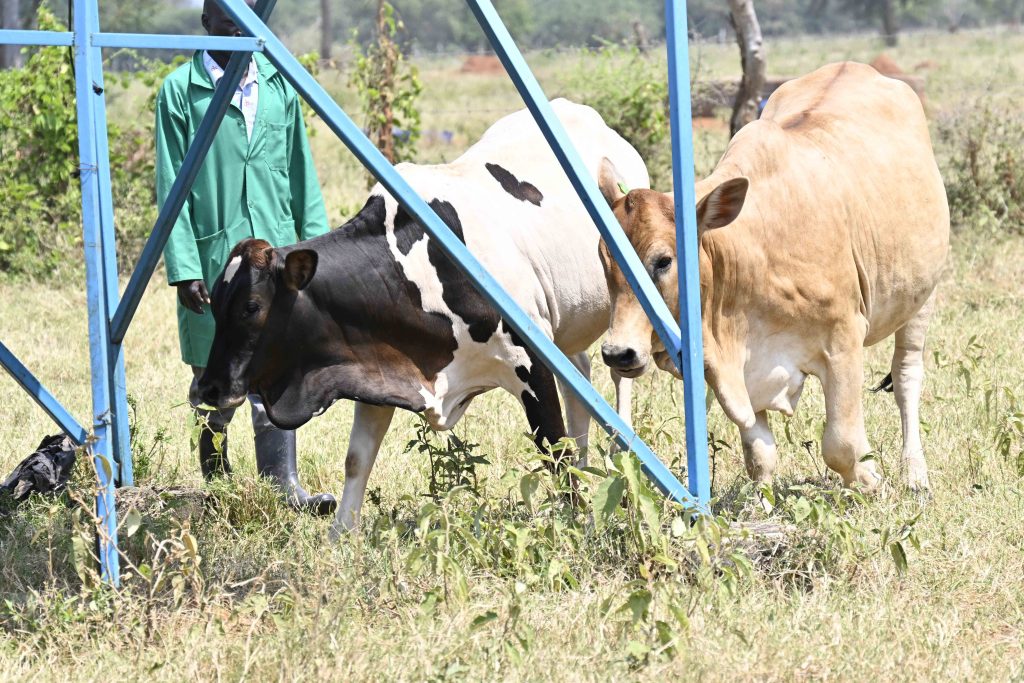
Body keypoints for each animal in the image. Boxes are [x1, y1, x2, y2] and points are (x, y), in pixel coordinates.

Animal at [197, 100, 647, 540]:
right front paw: (340, 537)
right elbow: (356, 459)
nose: (209, 387)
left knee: (617, 376)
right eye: (214, 303)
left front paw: (575, 518)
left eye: (252, 306)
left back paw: (618, 453)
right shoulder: (378, 373)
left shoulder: (530, 361)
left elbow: (553, 446)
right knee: (580, 381)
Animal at [598, 62, 950, 491]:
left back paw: (914, 471)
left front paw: (869, 480)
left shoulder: (843, 339)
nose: (618, 353)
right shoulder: (736, 372)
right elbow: (760, 456)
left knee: (906, 378)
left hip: (921, 299)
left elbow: (841, 445)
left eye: (663, 261)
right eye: (604, 259)